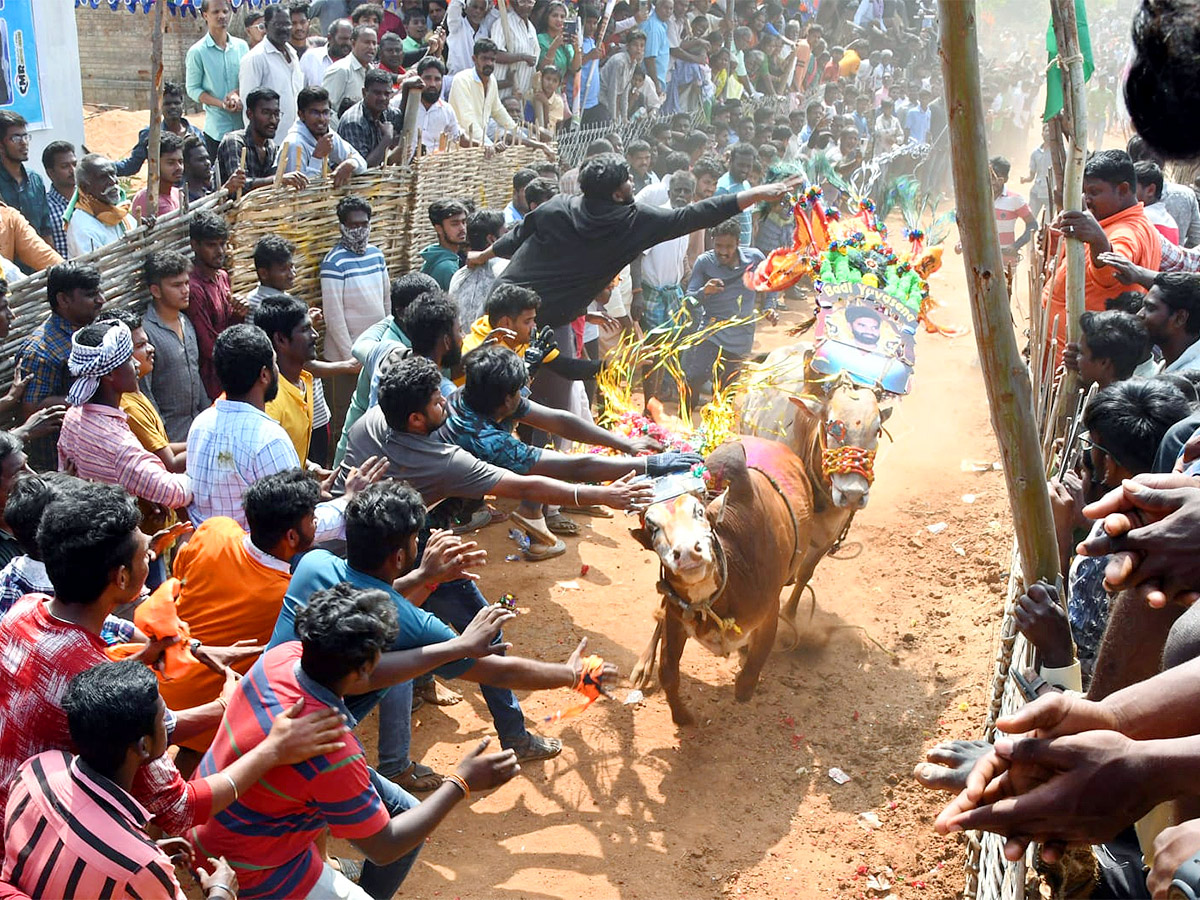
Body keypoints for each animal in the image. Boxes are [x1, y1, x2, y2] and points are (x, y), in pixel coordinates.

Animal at [628, 441, 816, 729]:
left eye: (699, 512)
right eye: (652, 526)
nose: (687, 553)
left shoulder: (768, 611)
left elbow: (755, 664)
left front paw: (743, 687)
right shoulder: (677, 614)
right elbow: (668, 671)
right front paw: (681, 716)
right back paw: (642, 667)